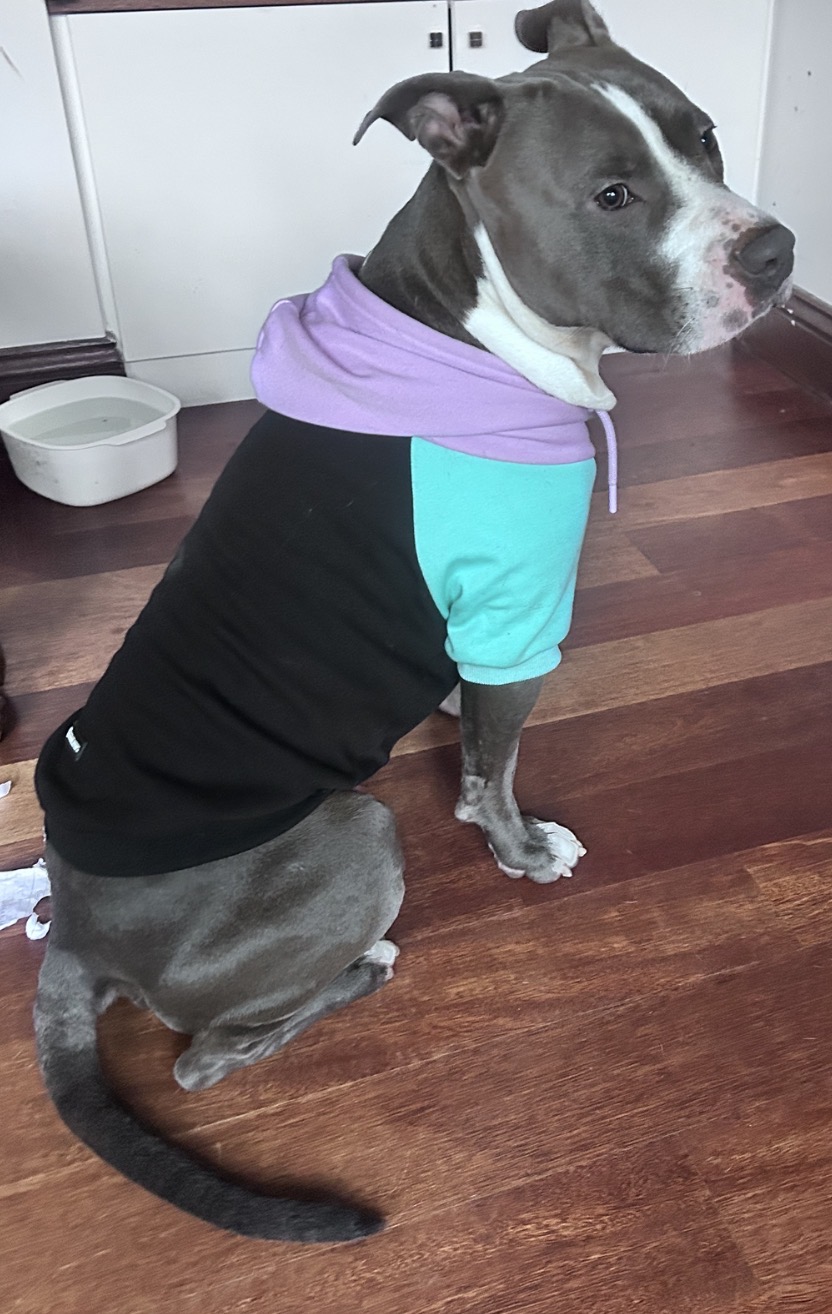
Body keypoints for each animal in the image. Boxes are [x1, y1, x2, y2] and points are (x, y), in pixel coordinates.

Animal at [33, 0, 794, 1244]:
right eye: (612, 194)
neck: (469, 328)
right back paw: (362, 967)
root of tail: (75, 928)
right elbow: (495, 773)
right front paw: (522, 851)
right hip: (356, 832)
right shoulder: (517, 619)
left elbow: (471, 722)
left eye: (707, 138)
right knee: (201, 1058)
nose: (776, 253)